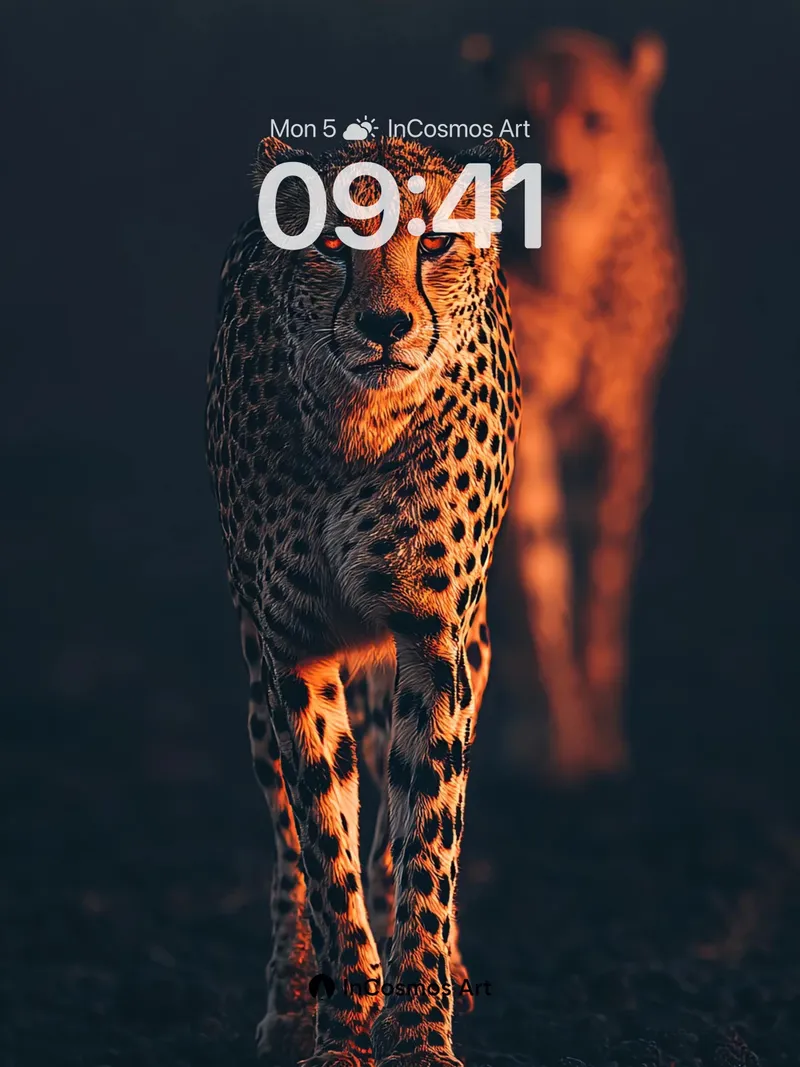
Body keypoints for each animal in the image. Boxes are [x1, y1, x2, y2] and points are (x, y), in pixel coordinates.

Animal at [205, 134, 520, 1067]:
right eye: (330, 244)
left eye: (436, 241)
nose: (386, 328)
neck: (359, 425)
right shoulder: (295, 649)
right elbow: (323, 847)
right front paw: (341, 1030)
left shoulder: (432, 639)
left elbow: (425, 847)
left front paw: (418, 1033)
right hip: (257, 672)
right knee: (288, 839)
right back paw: (286, 1004)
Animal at [481, 29, 684, 778]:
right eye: (520, 114)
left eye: (596, 120)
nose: (559, 178)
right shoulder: (526, 419)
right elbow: (540, 583)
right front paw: (555, 736)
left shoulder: (618, 420)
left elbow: (602, 580)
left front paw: (598, 733)